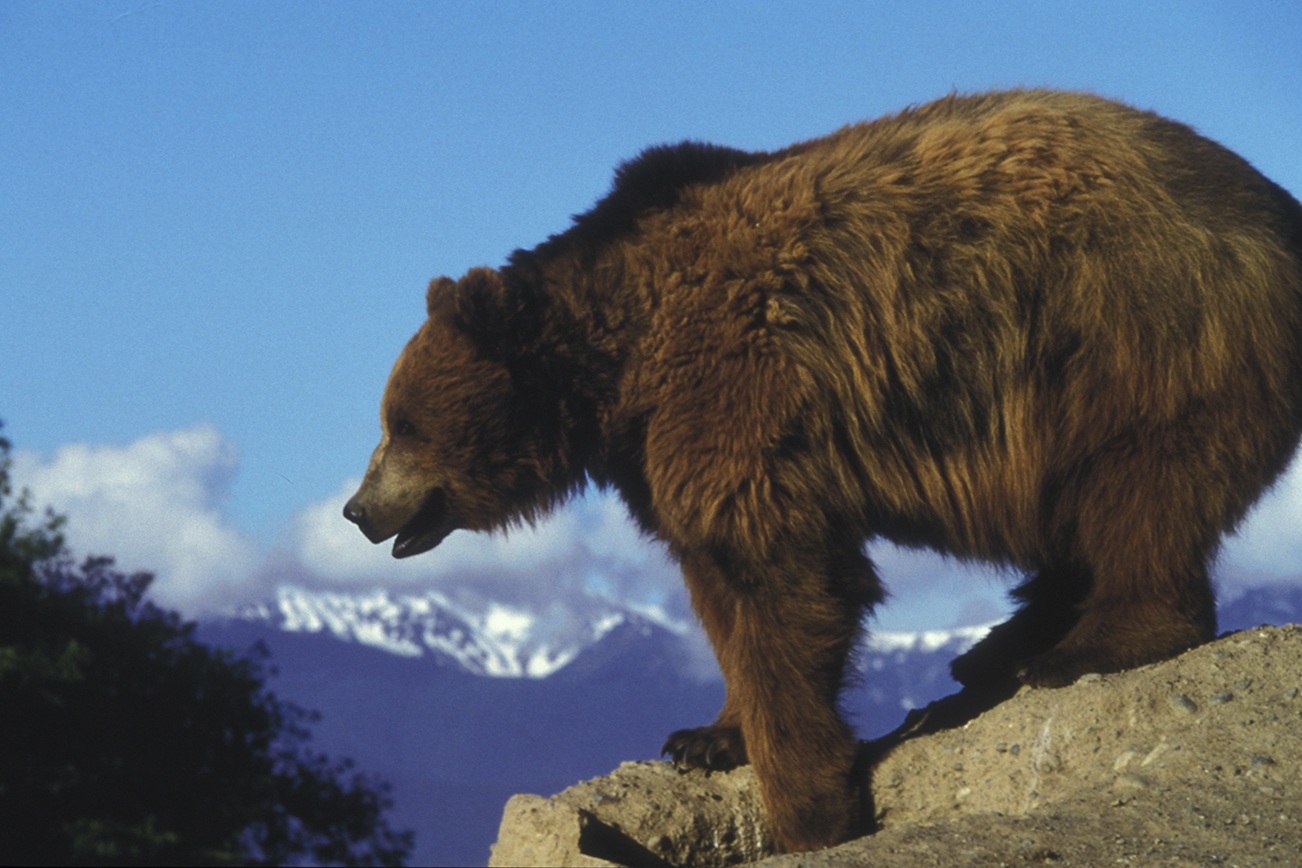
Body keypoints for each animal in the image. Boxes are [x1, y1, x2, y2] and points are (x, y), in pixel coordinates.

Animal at [343, 89, 1302, 853]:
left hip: (1130, 334)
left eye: (400, 424)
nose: (357, 509)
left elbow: (783, 582)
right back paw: (995, 650)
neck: (617, 364)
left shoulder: (735, 387)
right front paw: (706, 737)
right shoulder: (666, 450)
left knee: (1138, 486)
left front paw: (809, 810)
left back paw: (1082, 647)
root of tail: (1275, 210)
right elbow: (720, 591)